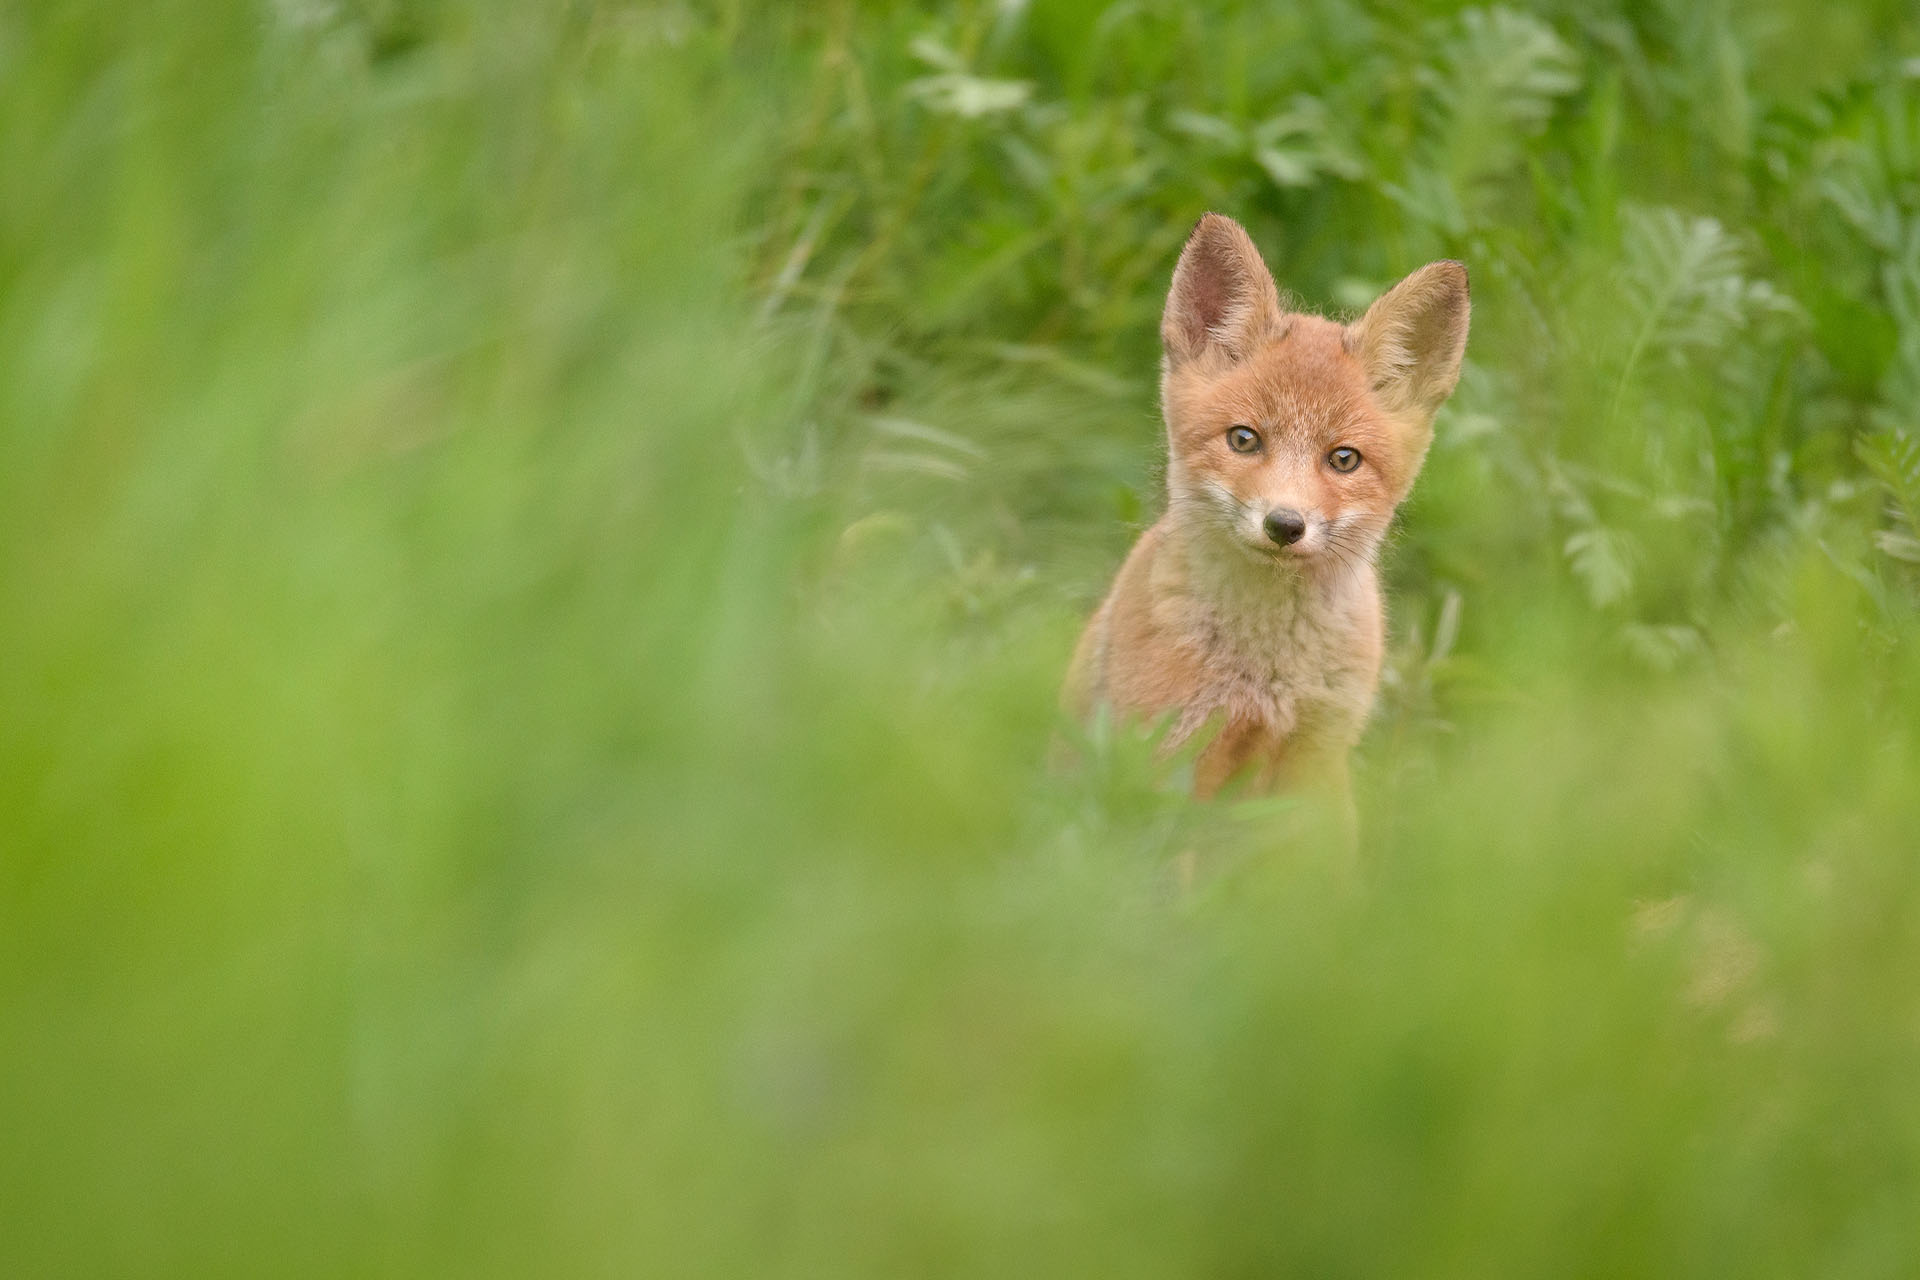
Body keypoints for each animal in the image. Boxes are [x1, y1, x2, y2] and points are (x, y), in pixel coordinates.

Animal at [1065, 213, 1469, 805]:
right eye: (1244, 439)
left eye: (1343, 459)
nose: (1284, 525)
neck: (1267, 670)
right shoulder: (1168, 755)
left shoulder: (1319, 760)